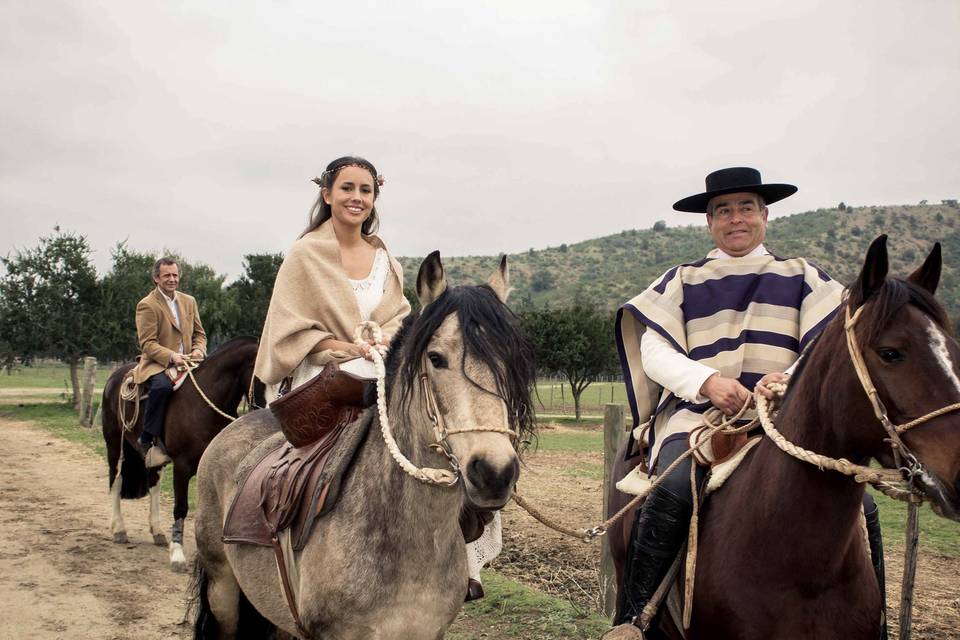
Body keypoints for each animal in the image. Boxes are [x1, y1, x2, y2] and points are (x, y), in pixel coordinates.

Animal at [101, 338, 264, 572]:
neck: (203, 406)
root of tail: (116, 376)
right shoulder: (182, 466)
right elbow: (181, 507)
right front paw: (177, 554)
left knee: (154, 485)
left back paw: (158, 532)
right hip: (115, 444)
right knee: (116, 481)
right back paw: (119, 530)